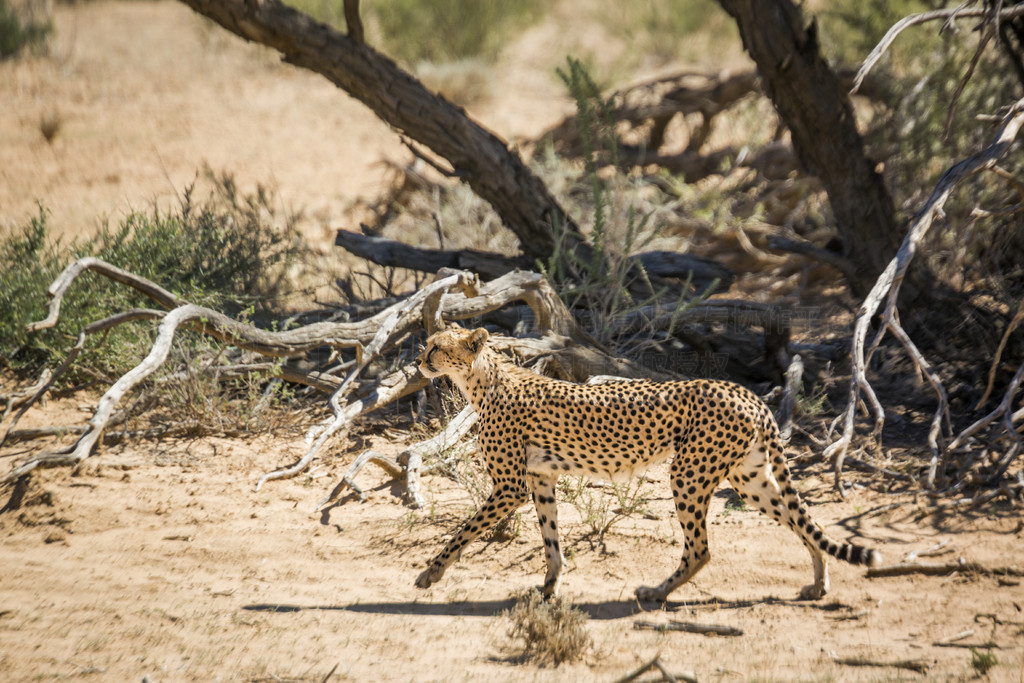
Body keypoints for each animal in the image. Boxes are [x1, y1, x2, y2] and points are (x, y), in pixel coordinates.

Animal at [413, 325, 880, 598]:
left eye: (435, 347)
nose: (418, 361)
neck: (483, 380)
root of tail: (744, 392)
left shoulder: (509, 486)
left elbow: (463, 530)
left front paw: (431, 572)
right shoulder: (541, 479)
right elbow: (551, 539)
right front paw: (549, 585)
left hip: (688, 473)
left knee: (701, 549)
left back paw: (657, 592)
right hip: (750, 478)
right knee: (802, 521)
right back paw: (819, 581)